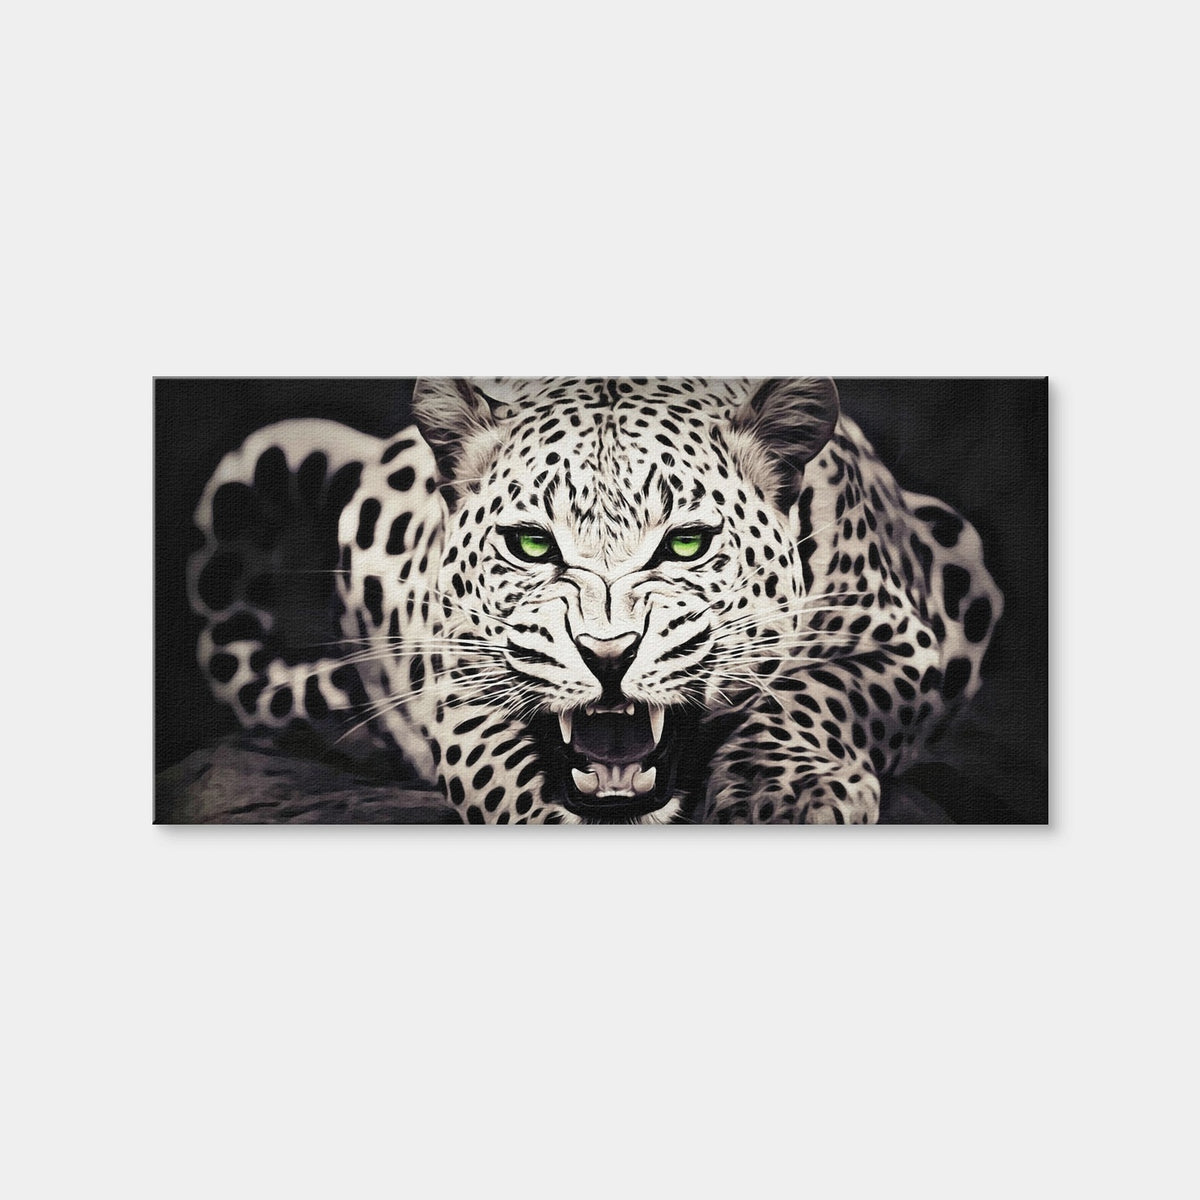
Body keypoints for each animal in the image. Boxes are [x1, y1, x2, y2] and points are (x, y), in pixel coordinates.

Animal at [188, 377, 1002, 824]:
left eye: (685, 544)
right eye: (531, 545)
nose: (607, 656)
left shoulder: (901, 639)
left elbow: (821, 691)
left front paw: (786, 794)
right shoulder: (461, 682)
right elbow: (503, 770)